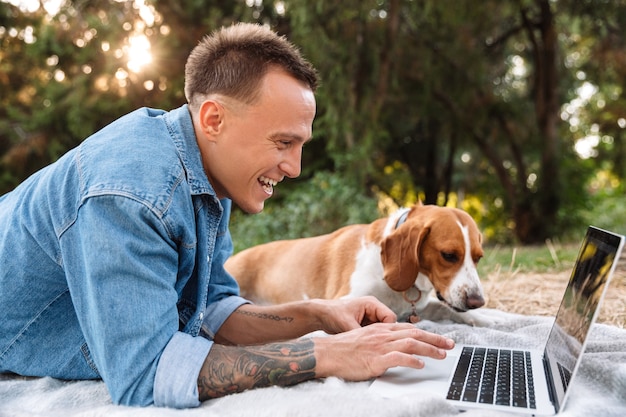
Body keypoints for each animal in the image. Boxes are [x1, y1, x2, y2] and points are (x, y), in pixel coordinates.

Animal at [224, 202, 492, 324]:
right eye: (449, 255)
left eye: (478, 257)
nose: (477, 301)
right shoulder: (346, 299)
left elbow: (449, 310)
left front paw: (485, 319)